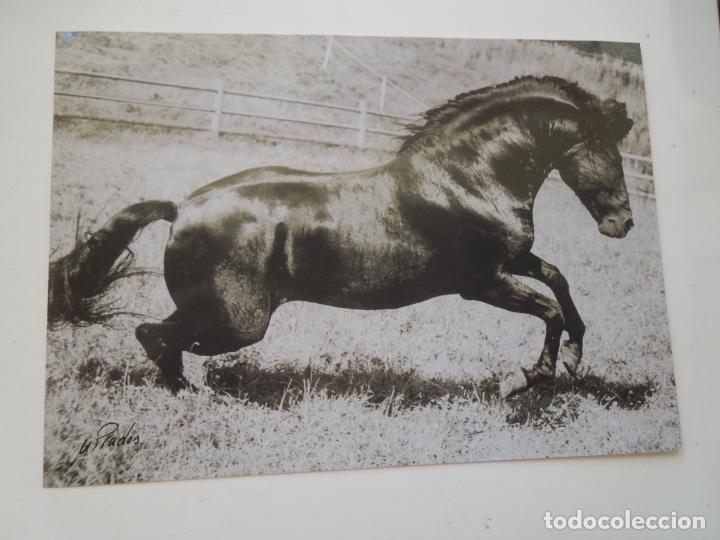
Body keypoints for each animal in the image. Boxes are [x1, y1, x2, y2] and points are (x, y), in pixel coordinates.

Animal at [47, 75, 635, 397]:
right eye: (609, 151)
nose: (623, 224)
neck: (465, 178)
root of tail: (182, 206)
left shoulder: (516, 260)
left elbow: (560, 281)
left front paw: (575, 358)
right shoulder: (482, 283)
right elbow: (550, 309)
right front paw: (524, 379)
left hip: (214, 308)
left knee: (159, 334)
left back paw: (188, 390)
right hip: (239, 322)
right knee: (156, 335)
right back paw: (193, 394)